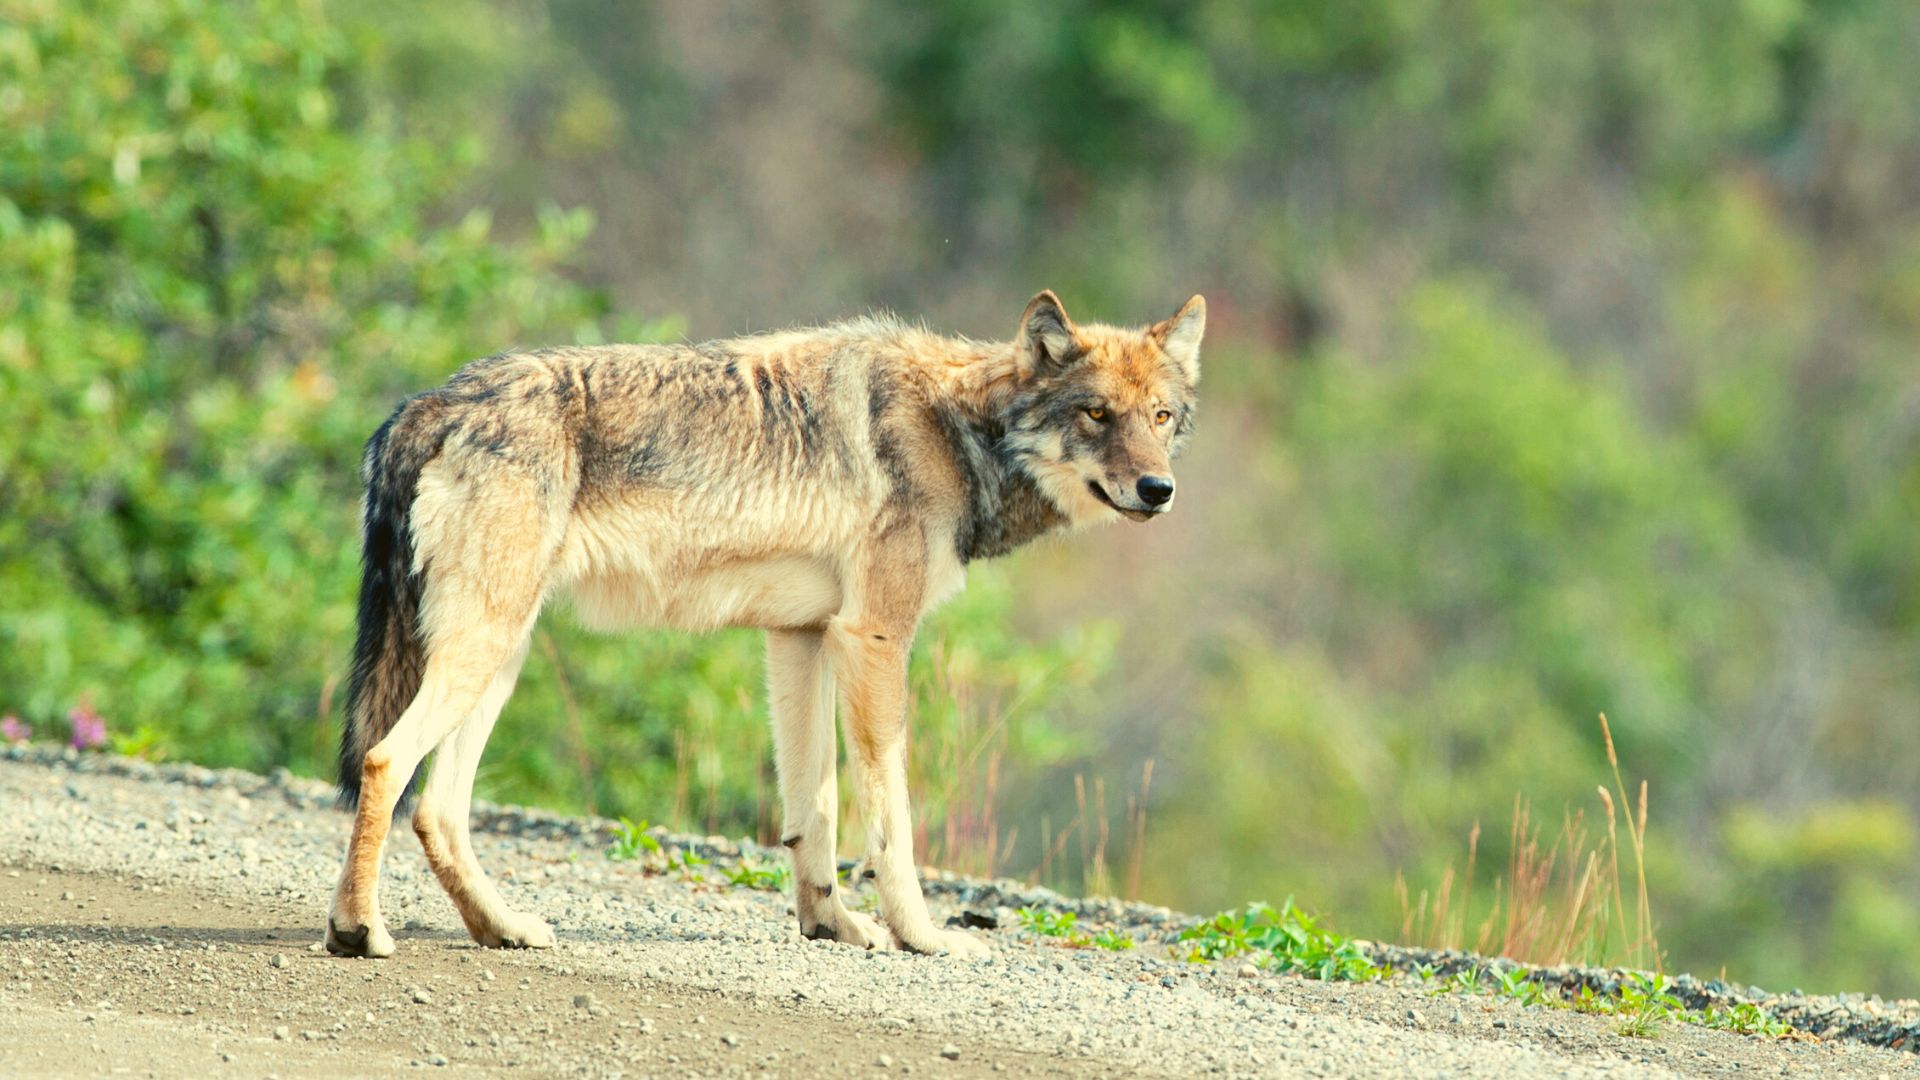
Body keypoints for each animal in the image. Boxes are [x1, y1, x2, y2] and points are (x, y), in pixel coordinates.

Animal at [326, 286, 1198, 949]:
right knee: (385, 763)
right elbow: (891, 817)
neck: (958, 427)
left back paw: (503, 928)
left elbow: (815, 810)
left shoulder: (801, 638)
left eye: (1159, 417)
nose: (1159, 491)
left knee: (437, 809)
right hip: (485, 649)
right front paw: (922, 936)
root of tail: (424, 404)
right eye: (1095, 414)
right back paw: (358, 931)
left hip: (500, 659)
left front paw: (833, 927)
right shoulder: (874, 638)